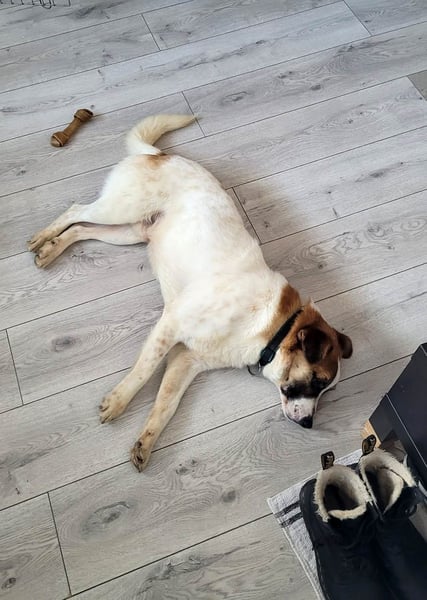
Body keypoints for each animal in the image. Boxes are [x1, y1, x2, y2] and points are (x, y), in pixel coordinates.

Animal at [28, 114, 352, 471]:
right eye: (318, 381)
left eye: (326, 390)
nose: (309, 424)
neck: (268, 328)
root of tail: (159, 154)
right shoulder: (170, 325)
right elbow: (143, 372)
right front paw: (119, 400)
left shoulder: (185, 360)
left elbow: (166, 403)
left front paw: (146, 440)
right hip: (119, 210)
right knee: (75, 211)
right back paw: (43, 237)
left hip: (129, 232)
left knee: (81, 230)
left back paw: (51, 249)